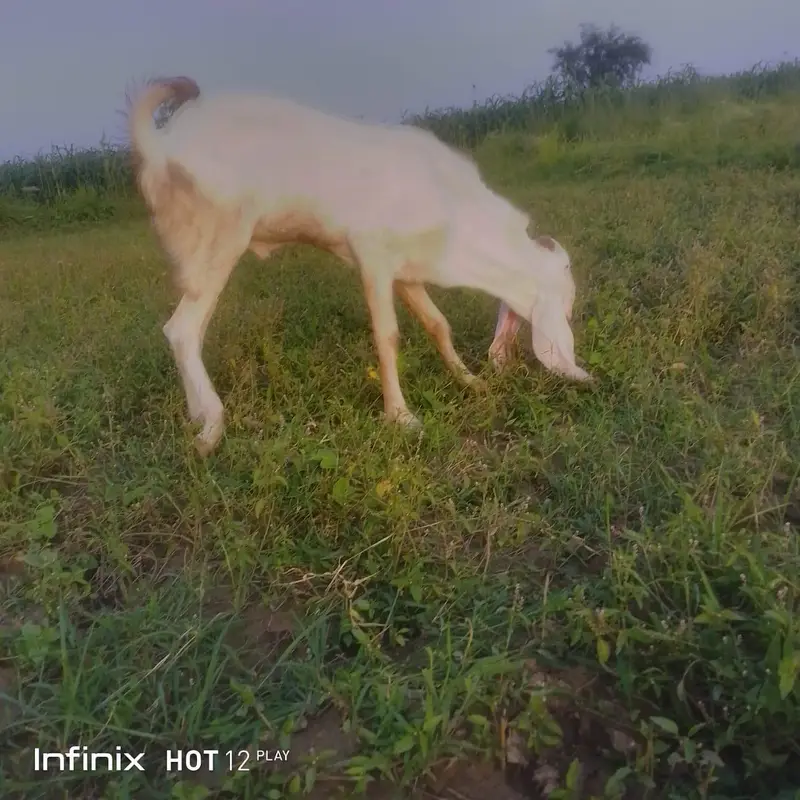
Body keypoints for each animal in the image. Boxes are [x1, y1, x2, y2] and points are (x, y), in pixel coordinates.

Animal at [126, 76, 591, 456]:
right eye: (568, 292)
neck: (454, 210)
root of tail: (161, 142)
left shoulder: (406, 272)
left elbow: (438, 323)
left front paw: (469, 379)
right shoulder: (372, 257)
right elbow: (388, 336)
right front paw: (401, 417)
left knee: (193, 330)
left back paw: (198, 414)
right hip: (219, 237)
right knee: (182, 329)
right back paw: (212, 428)